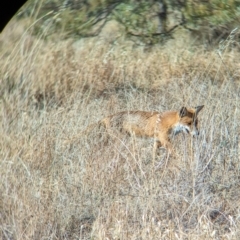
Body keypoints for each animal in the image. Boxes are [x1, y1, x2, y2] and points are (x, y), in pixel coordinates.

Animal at [71, 106, 202, 155]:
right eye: (189, 123)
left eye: (196, 123)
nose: (198, 134)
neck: (169, 122)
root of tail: (107, 116)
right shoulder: (164, 140)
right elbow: (175, 152)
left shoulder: (157, 141)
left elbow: (154, 154)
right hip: (120, 141)